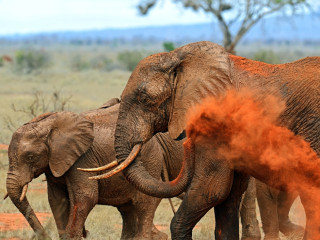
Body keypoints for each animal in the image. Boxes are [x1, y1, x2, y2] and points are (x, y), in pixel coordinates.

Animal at [5, 99, 185, 240]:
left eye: (30, 157)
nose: (46, 236)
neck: (47, 125)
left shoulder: (83, 158)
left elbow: (86, 197)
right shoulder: (53, 164)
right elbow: (57, 200)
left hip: (149, 160)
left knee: (143, 204)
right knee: (127, 210)